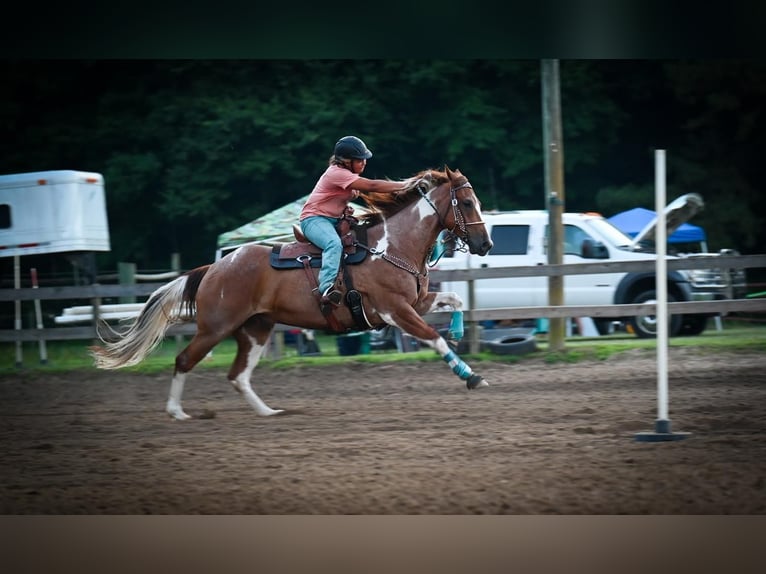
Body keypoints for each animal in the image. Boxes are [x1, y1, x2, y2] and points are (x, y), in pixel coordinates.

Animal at [90, 166, 496, 424]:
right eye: (467, 202)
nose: (486, 244)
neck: (391, 245)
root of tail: (213, 268)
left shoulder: (415, 303)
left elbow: (456, 302)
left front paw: (459, 331)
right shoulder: (395, 310)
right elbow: (432, 339)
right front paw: (470, 375)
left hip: (256, 330)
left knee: (238, 375)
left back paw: (268, 413)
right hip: (215, 328)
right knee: (185, 360)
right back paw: (176, 412)